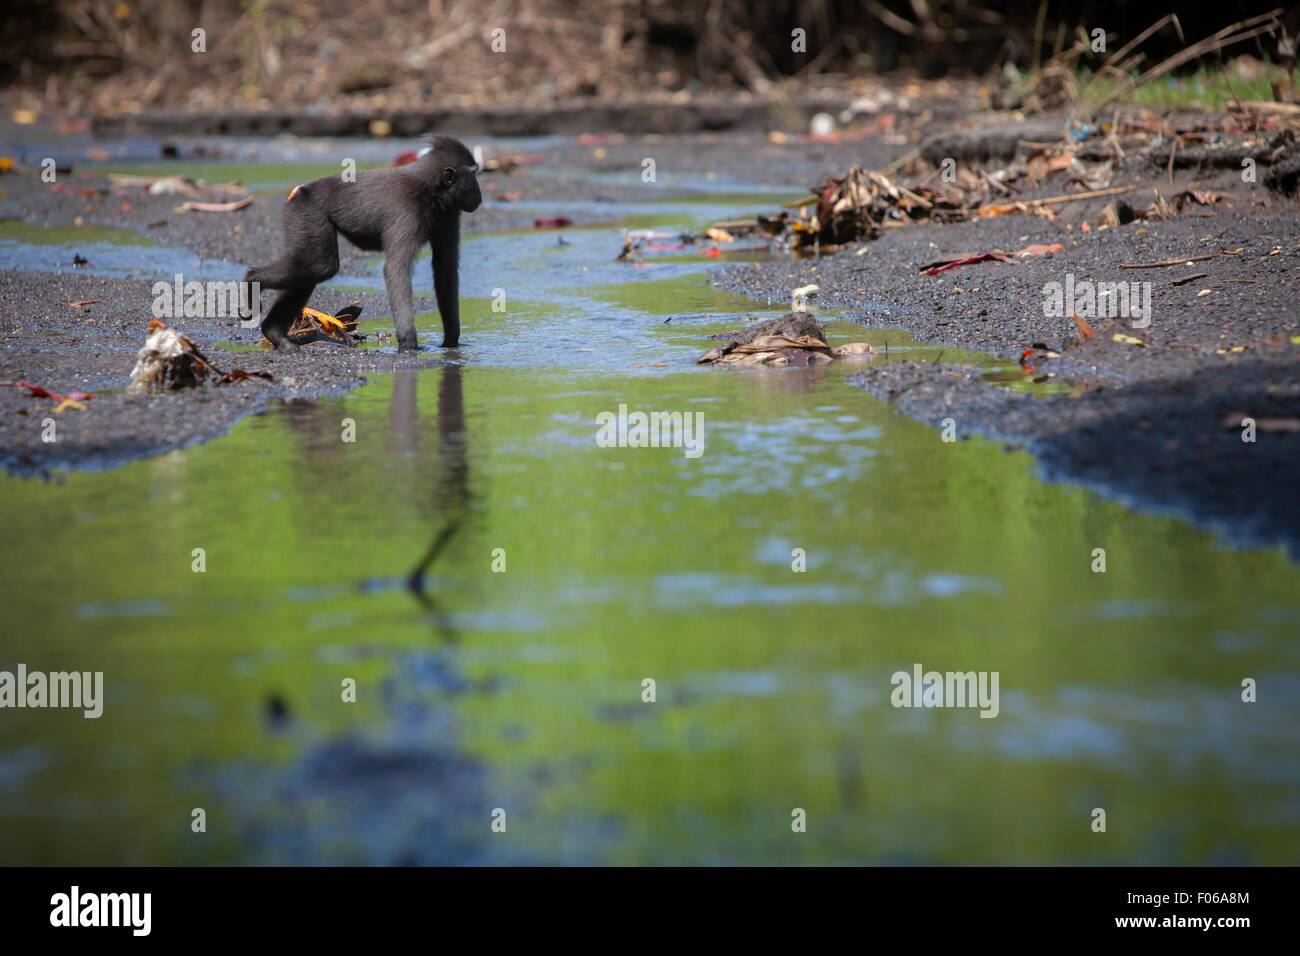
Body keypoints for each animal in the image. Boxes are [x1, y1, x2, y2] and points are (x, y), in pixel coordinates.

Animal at [244, 135, 481, 352]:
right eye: (474, 174)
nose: (480, 196)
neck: (429, 191)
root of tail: (300, 190)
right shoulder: (407, 213)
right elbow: (396, 270)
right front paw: (408, 345)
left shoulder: (449, 212)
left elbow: (445, 268)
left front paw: (451, 341)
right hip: (305, 212)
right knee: (320, 266)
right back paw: (252, 280)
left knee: (314, 268)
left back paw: (275, 333)